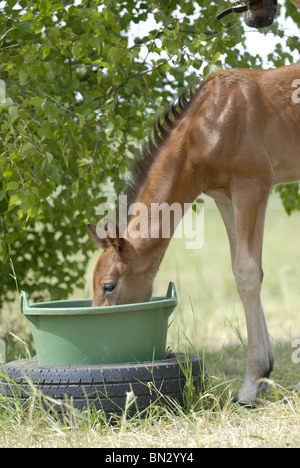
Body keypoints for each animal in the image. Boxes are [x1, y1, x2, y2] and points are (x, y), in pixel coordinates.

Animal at [88, 0, 300, 404]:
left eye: (109, 286)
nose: (101, 329)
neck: (207, 123)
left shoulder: (252, 185)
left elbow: (247, 272)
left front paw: (250, 386)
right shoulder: (225, 195)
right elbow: (245, 267)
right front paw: (265, 371)